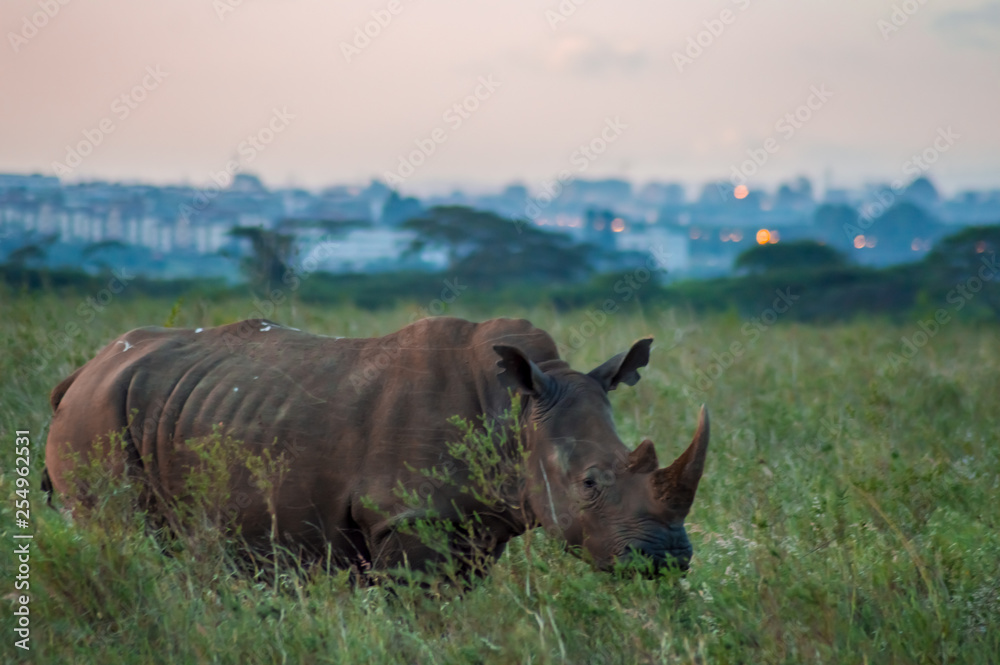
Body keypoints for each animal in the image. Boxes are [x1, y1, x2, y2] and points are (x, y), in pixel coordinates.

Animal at [44, 317, 709, 577]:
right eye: (591, 483)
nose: (667, 559)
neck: (516, 411)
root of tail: (83, 371)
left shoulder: (475, 523)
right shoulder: (407, 518)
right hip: (96, 417)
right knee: (117, 535)